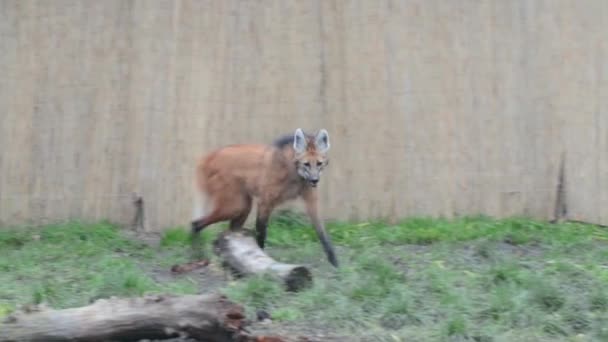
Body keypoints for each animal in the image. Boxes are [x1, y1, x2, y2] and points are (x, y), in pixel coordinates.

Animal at [191, 128, 338, 268]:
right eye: (306, 164)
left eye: (319, 163)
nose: (314, 180)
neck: (295, 173)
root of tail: (207, 157)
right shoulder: (265, 201)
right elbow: (261, 232)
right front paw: (264, 260)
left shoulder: (310, 199)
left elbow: (322, 232)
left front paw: (335, 263)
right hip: (234, 205)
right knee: (196, 223)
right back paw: (197, 253)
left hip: (243, 205)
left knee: (231, 229)